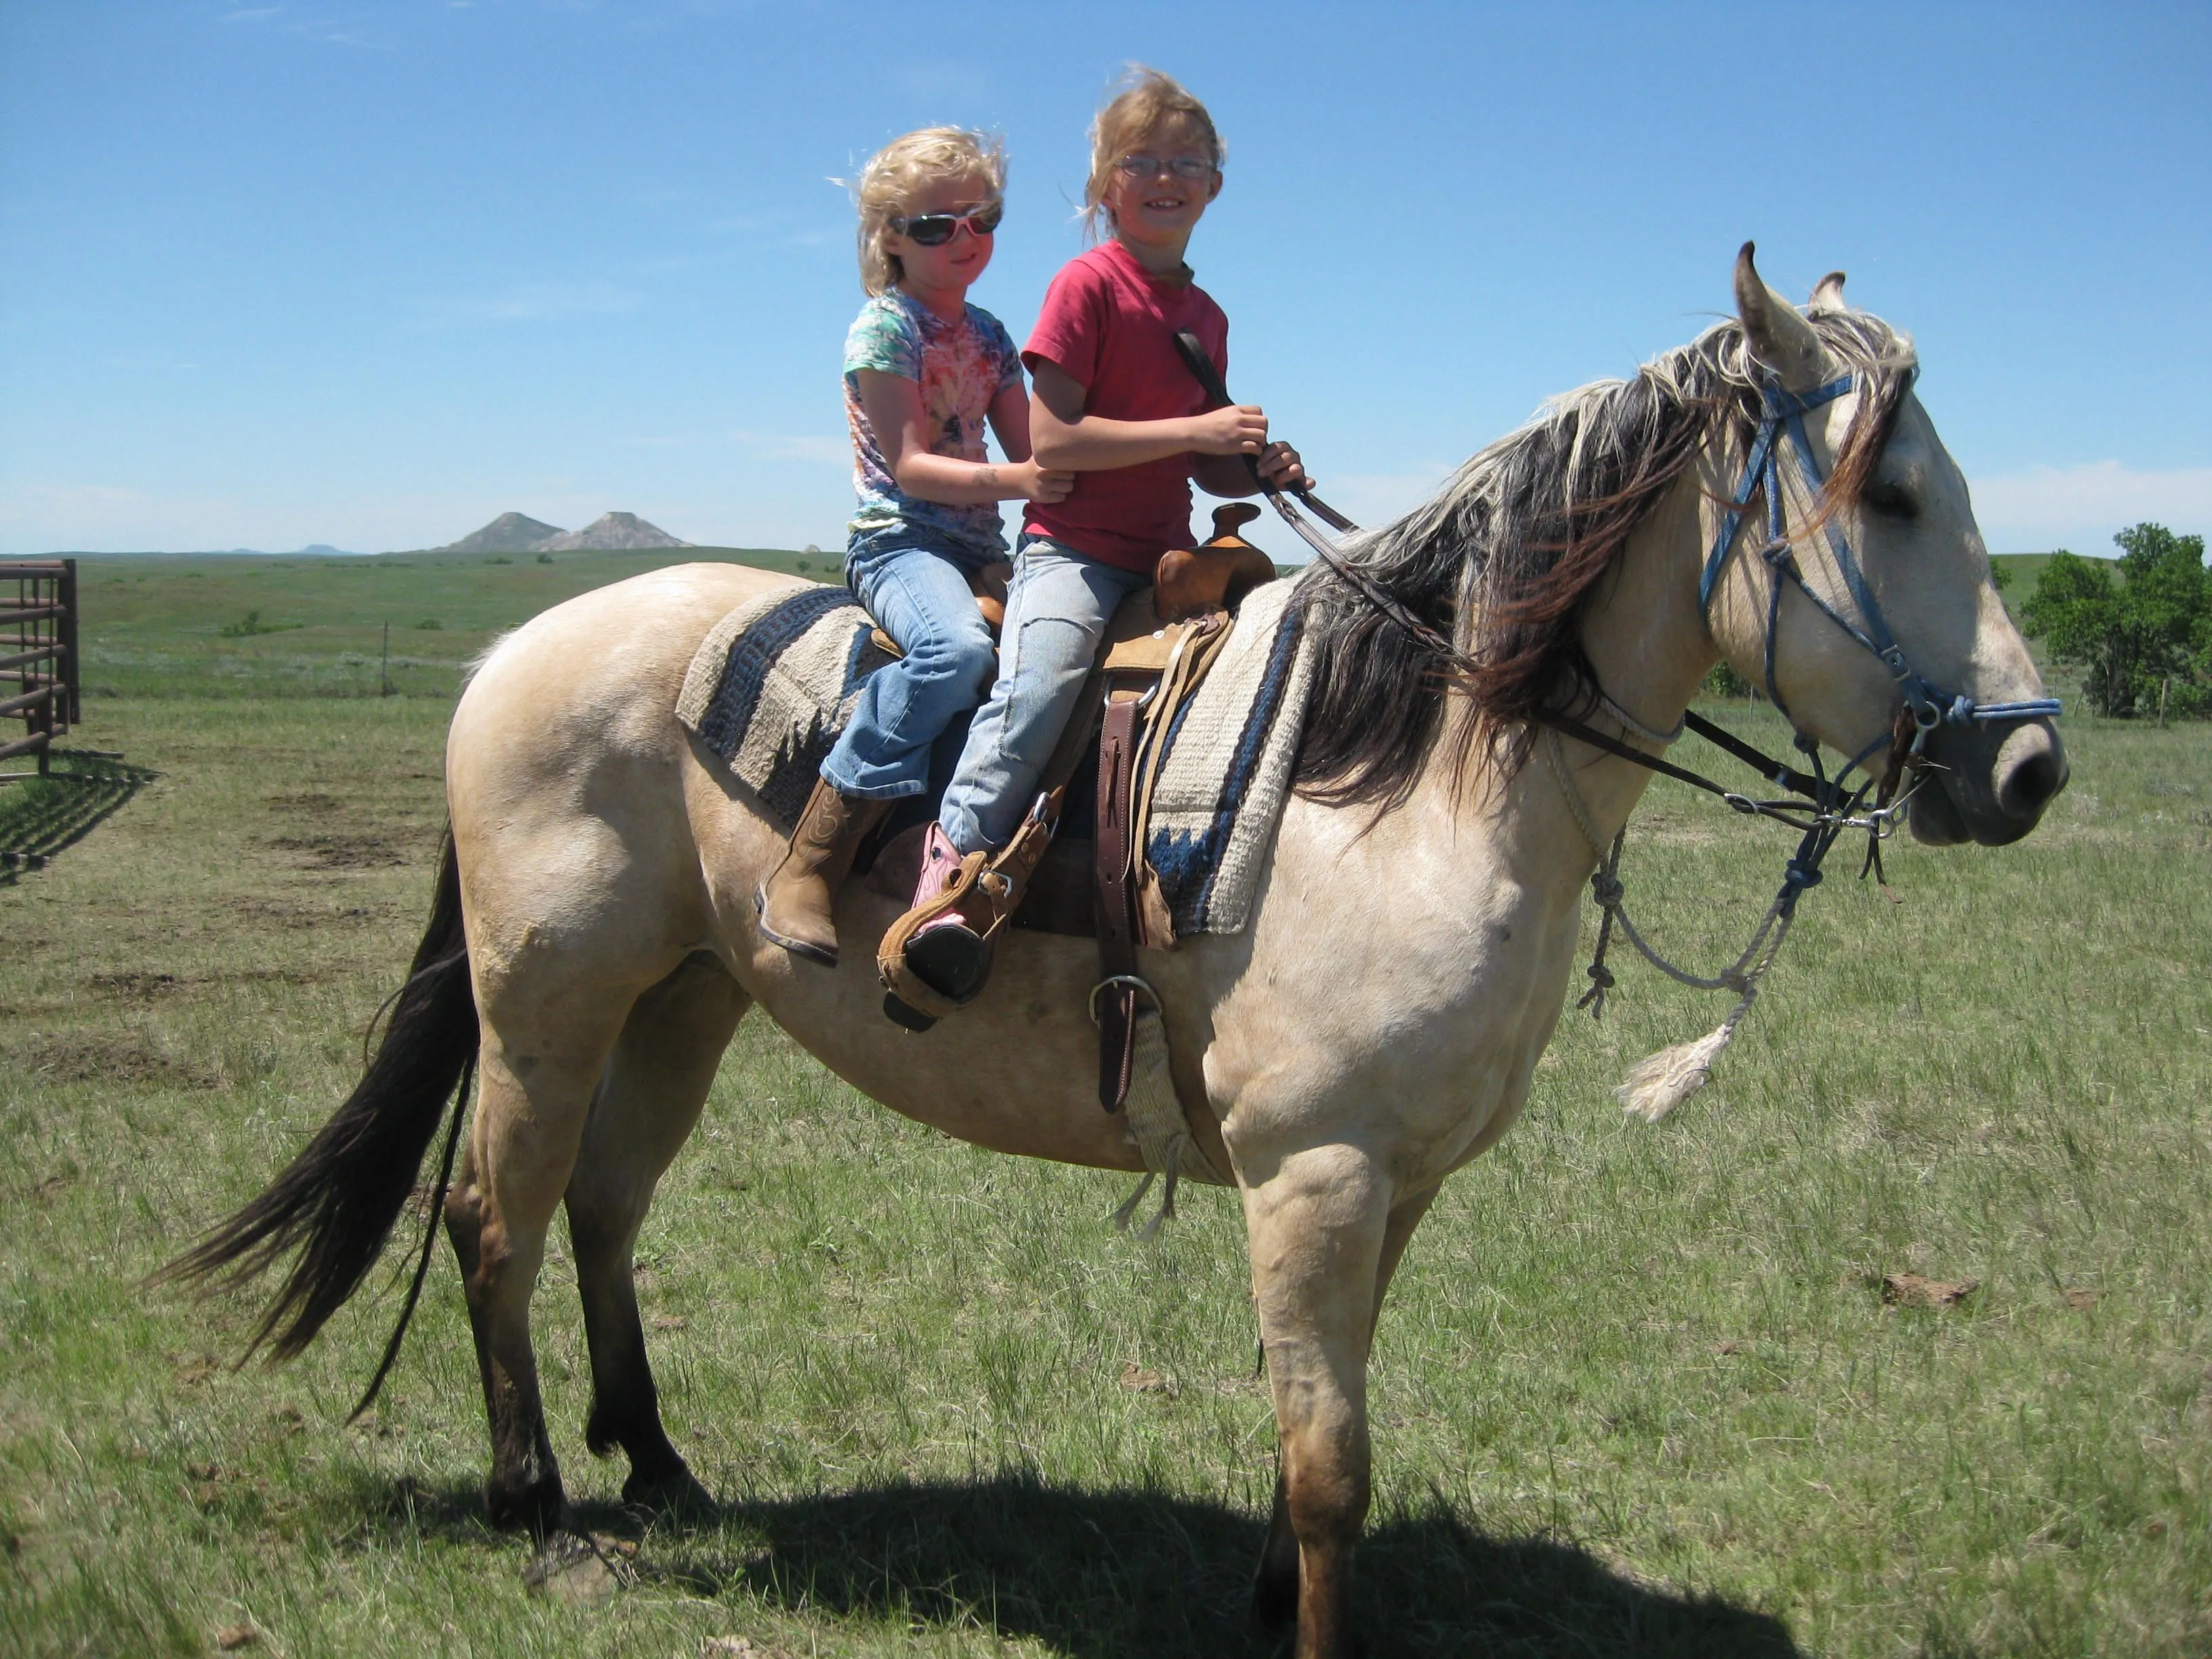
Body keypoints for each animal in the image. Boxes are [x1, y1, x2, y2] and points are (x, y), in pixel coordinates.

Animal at [166, 248, 2066, 1659]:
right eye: (1897, 494)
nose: (2028, 768)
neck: (1415, 779)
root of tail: (509, 653)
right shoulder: (1314, 1167)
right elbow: (1331, 1461)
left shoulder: (1397, 1182)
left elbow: (1321, 1434)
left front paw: (1265, 1602)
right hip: (543, 1002)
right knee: (491, 1217)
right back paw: (543, 1509)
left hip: (684, 1001)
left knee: (600, 1212)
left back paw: (662, 1467)